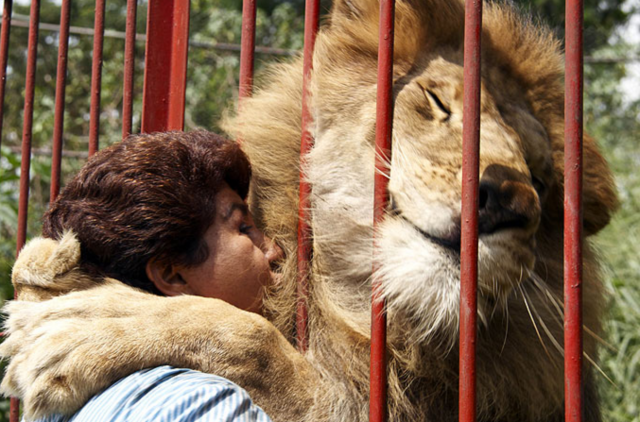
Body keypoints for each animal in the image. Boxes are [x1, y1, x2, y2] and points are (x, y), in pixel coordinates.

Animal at [1, 0, 620, 420]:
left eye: (541, 180)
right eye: (437, 101)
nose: (512, 199)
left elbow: (249, 337)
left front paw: (91, 322)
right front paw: (48, 267)